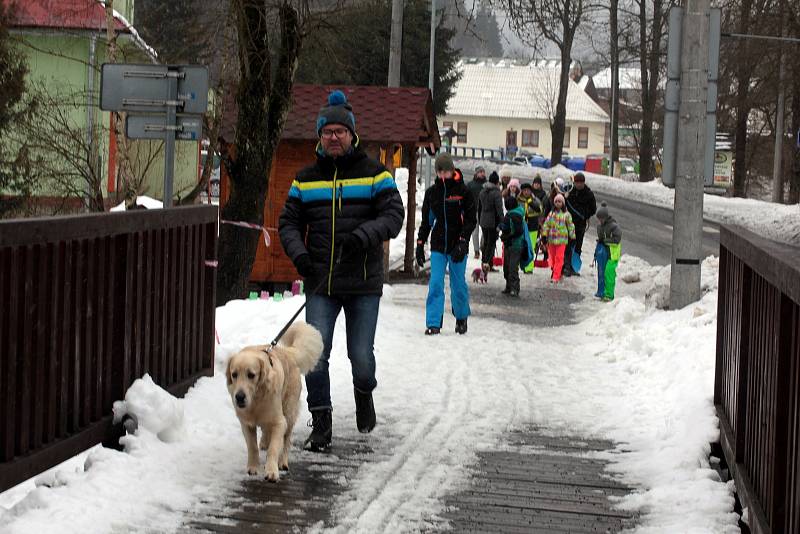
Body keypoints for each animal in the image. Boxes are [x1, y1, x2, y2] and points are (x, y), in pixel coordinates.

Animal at [225, 322, 322, 486]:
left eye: (251, 375)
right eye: (234, 374)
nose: (239, 397)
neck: (256, 400)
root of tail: (288, 352)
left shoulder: (279, 422)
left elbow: (274, 448)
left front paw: (271, 471)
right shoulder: (246, 423)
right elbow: (252, 446)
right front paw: (253, 467)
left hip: (289, 411)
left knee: (286, 440)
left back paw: (282, 462)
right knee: (266, 432)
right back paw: (264, 442)